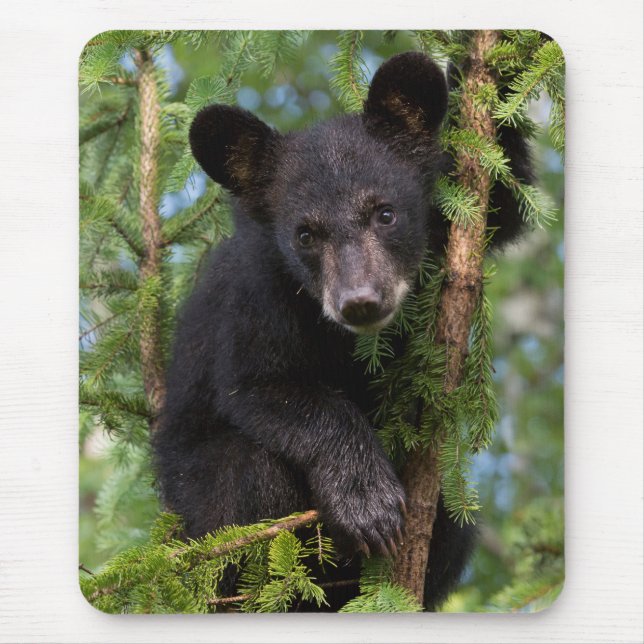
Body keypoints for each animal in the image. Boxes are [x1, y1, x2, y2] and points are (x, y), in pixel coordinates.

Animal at [153, 51, 531, 611]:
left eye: (385, 212)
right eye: (305, 234)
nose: (360, 301)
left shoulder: (452, 221)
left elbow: (503, 197)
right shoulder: (257, 296)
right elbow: (262, 386)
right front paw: (367, 504)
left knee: (454, 524)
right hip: (196, 504)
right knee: (244, 480)